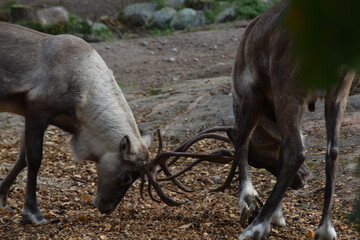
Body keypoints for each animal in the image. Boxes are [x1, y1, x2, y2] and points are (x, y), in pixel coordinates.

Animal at [226, 0, 356, 239]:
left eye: (258, 159)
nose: (301, 181)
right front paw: (275, 214)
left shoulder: (252, 94)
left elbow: (242, 141)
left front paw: (248, 201)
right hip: (339, 91)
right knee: (332, 151)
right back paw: (326, 228)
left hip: (288, 89)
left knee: (295, 152)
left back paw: (255, 227)